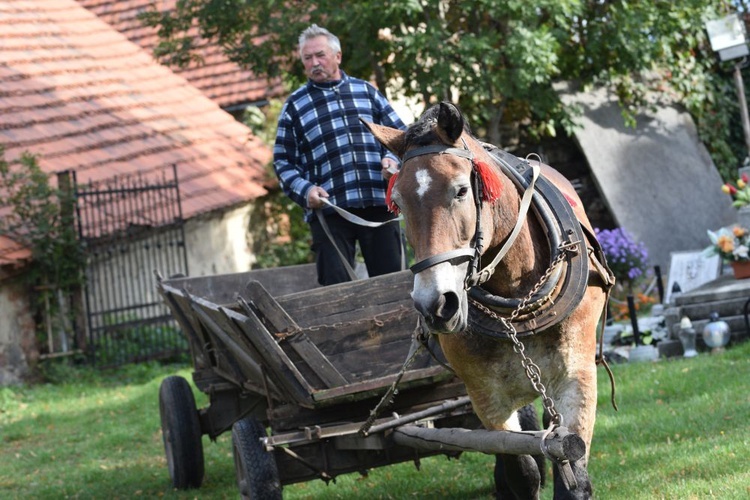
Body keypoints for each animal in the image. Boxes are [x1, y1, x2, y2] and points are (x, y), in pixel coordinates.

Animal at [364, 102, 616, 500]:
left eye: (460, 190)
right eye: (398, 202)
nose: (435, 303)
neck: (516, 298)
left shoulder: (577, 375)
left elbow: (572, 474)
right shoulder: (486, 395)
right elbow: (521, 469)